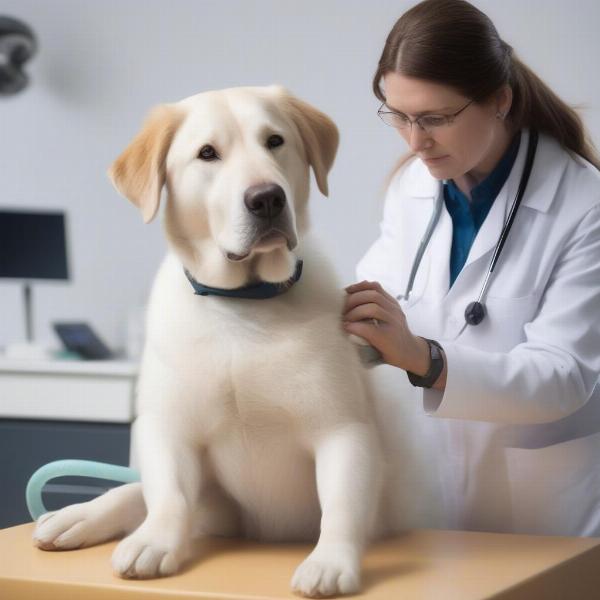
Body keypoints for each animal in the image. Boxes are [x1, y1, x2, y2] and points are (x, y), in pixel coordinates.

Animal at [32, 86, 392, 596]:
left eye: (275, 141)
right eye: (207, 154)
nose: (267, 199)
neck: (243, 305)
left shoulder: (341, 429)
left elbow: (341, 503)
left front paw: (330, 561)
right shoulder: (172, 430)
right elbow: (167, 495)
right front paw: (155, 541)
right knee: (137, 492)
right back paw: (74, 516)